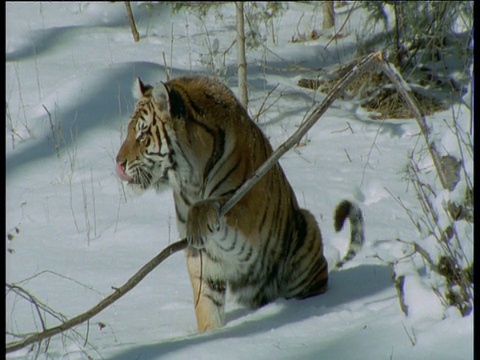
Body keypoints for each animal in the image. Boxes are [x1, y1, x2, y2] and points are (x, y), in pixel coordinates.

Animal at [115, 76, 364, 332]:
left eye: (142, 135)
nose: (118, 163)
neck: (190, 180)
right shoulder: (203, 257)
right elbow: (206, 300)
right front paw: (208, 333)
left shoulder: (246, 207)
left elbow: (219, 209)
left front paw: (200, 218)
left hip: (307, 228)